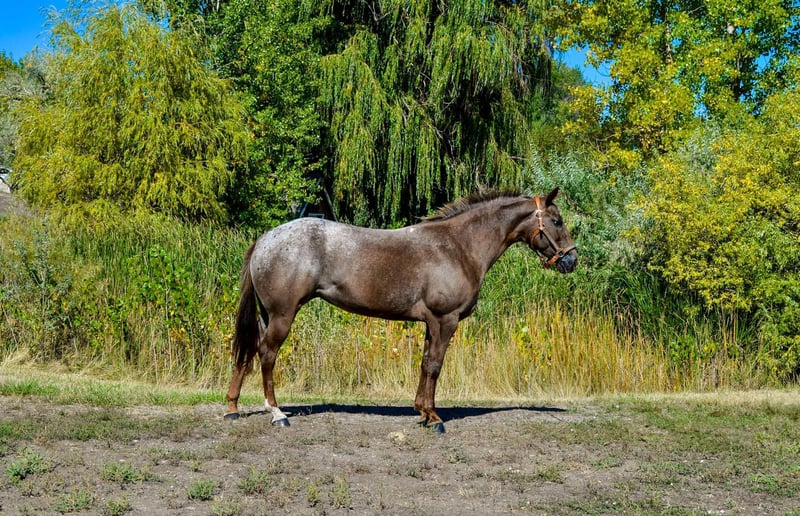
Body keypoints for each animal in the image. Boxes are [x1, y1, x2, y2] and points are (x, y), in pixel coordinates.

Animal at [223, 188, 577, 433]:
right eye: (557, 221)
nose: (572, 260)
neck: (458, 247)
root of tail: (265, 240)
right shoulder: (445, 320)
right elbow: (435, 365)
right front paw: (434, 418)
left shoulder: (431, 323)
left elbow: (425, 364)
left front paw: (422, 411)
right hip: (282, 315)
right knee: (267, 354)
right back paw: (277, 413)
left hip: (267, 315)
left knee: (249, 350)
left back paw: (232, 407)